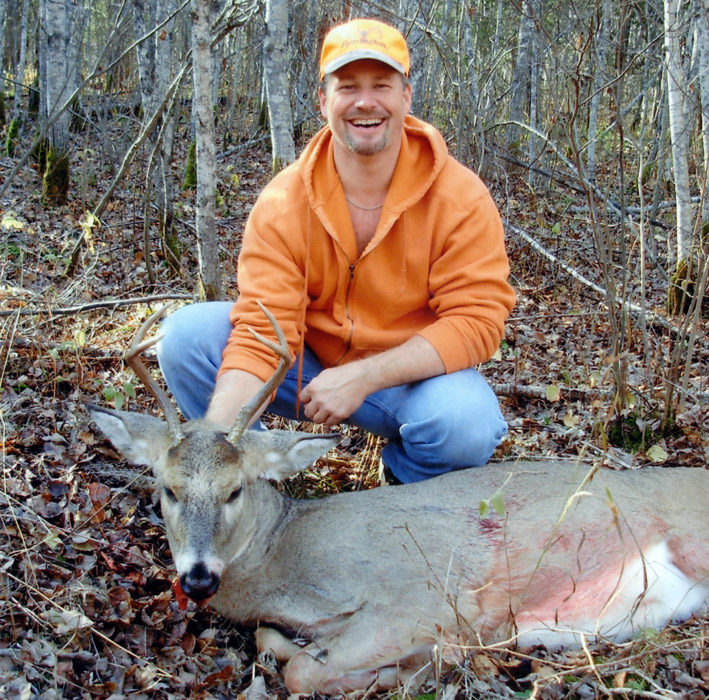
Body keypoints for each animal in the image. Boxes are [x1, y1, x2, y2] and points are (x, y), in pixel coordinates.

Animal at [88, 306, 708, 696]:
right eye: (167, 488)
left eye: (234, 489)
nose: (197, 578)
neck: (286, 557)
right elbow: (273, 643)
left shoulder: (422, 598)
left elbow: (303, 674)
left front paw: (412, 671)